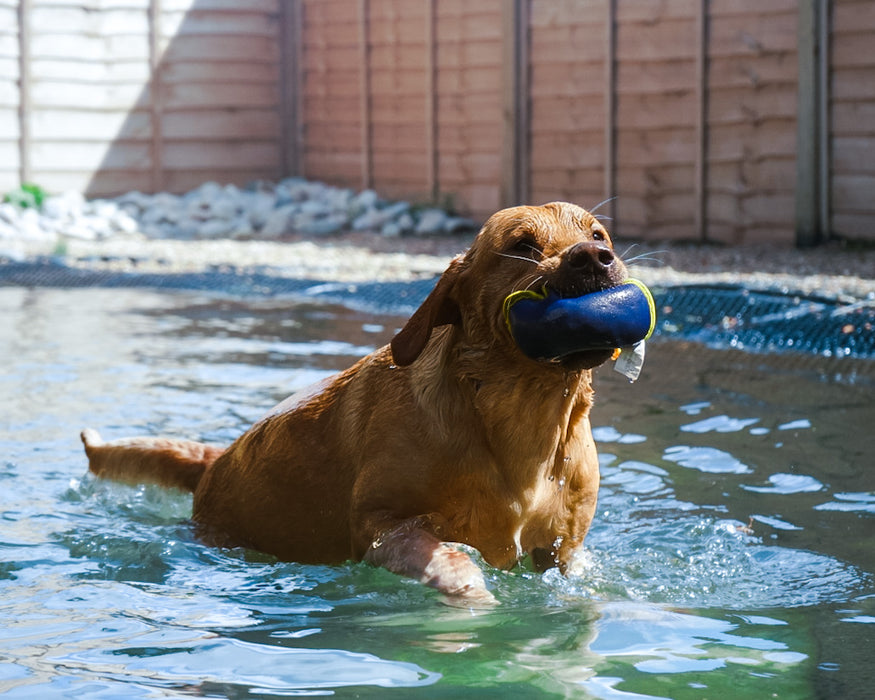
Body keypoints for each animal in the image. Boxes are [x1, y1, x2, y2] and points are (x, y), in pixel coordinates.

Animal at [82, 201, 628, 600]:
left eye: (599, 235)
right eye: (523, 246)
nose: (592, 257)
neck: (524, 415)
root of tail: (213, 463)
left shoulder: (564, 549)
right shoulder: (379, 524)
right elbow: (452, 561)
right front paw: (472, 596)